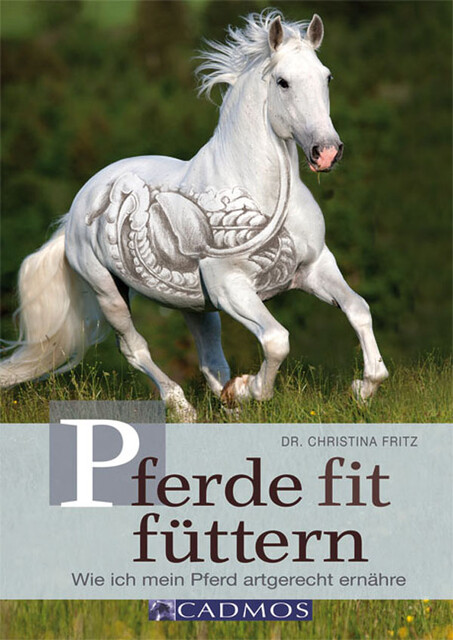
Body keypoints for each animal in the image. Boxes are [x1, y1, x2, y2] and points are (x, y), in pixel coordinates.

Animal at [0, 11, 388, 420]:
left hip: (193, 305)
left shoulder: (314, 267)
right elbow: (276, 340)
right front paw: (250, 389)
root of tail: (77, 209)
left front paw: (362, 389)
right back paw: (183, 406)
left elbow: (358, 310)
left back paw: (227, 403)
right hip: (108, 291)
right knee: (135, 348)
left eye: (326, 77)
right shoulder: (230, 285)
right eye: (283, 82)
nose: (326, 152)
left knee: (209, 359)